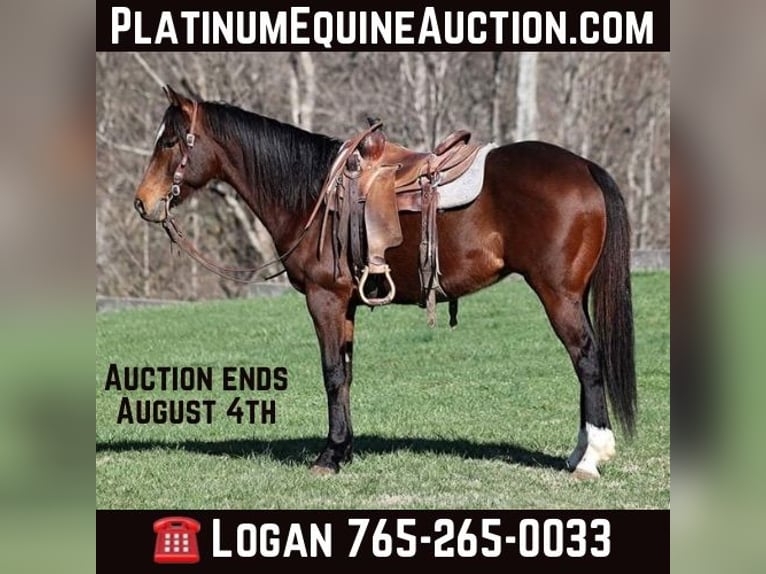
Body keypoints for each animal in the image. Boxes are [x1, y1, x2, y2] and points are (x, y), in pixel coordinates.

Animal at [133, 86, 635, 479]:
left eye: (171, 141)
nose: (142, 202)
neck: (314, 196)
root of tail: (584, 168)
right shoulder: (346, 305)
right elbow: (347, 372)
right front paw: (345, 449)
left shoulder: (324, 300)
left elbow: (332, 373)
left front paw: (329, 457)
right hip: (574, 295)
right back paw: (577, 453)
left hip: (558, 295)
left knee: (586, 358)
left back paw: (591, 457)